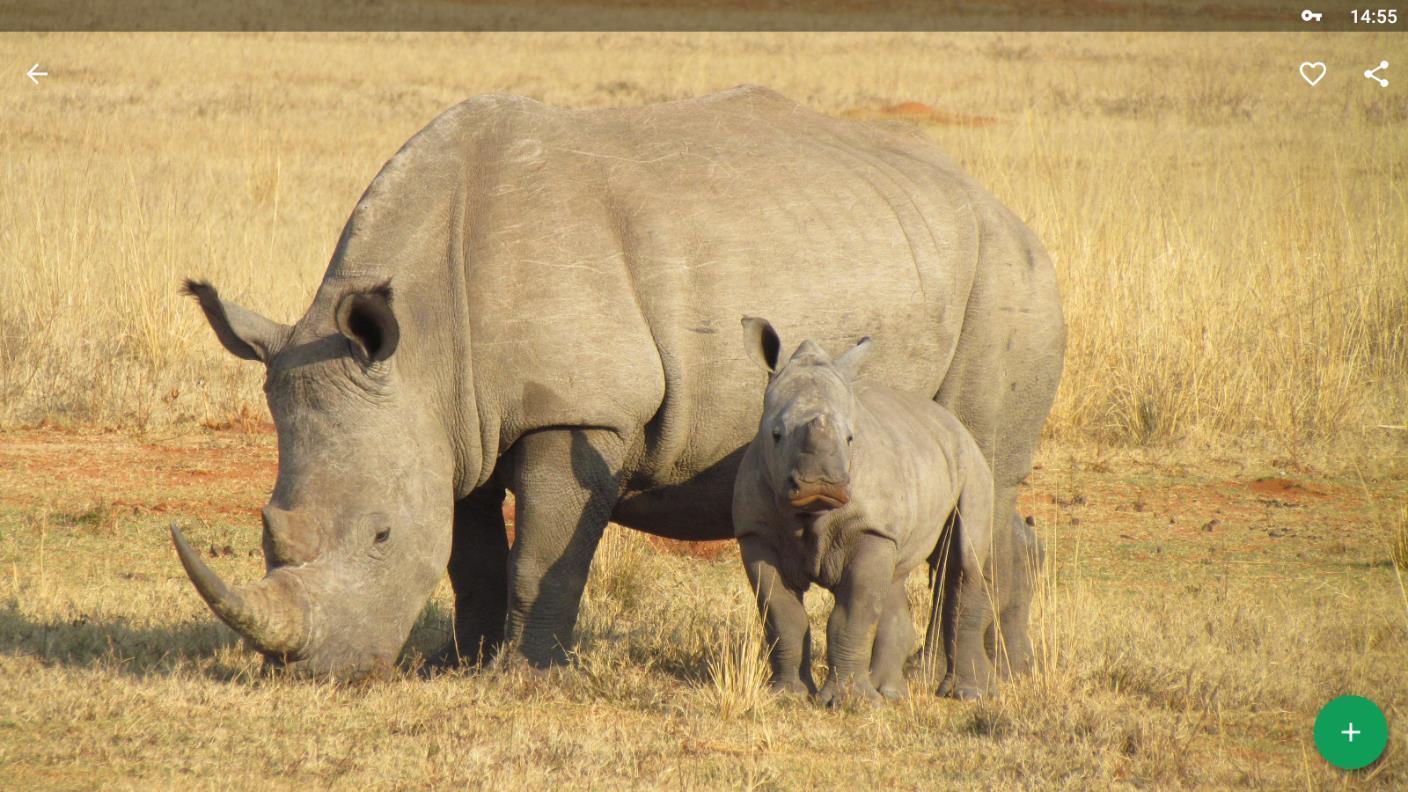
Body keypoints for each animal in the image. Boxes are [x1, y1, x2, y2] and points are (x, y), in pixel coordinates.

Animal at [732, 319, 1009, 703]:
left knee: (963, 562)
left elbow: (853, 615)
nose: (822, 482)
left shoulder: (869, 527)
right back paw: (892, 693)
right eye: (775, 435)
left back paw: (967, 695)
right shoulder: (756, 533)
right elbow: (783, 617)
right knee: (892, 581)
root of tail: (952, 422)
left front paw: (850, 702)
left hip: (972, 464)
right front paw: (788, 696)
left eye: (850, 439)